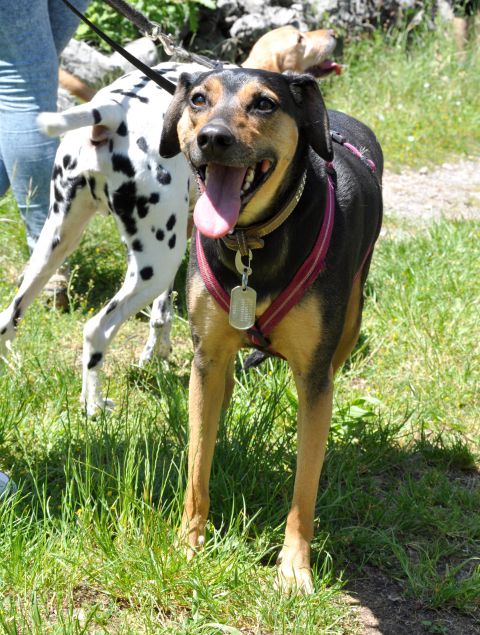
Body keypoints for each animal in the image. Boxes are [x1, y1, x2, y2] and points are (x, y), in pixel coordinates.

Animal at [160, 67, 382, 592]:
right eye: (198, 100)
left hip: (350, 320)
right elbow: (197, 463)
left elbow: (304, 489)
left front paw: (294, 570)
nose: (212, 137)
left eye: (263, 103)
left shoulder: (314, 377)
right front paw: (188, 545)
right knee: (220, 391)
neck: (250, 241)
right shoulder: (206, 357)